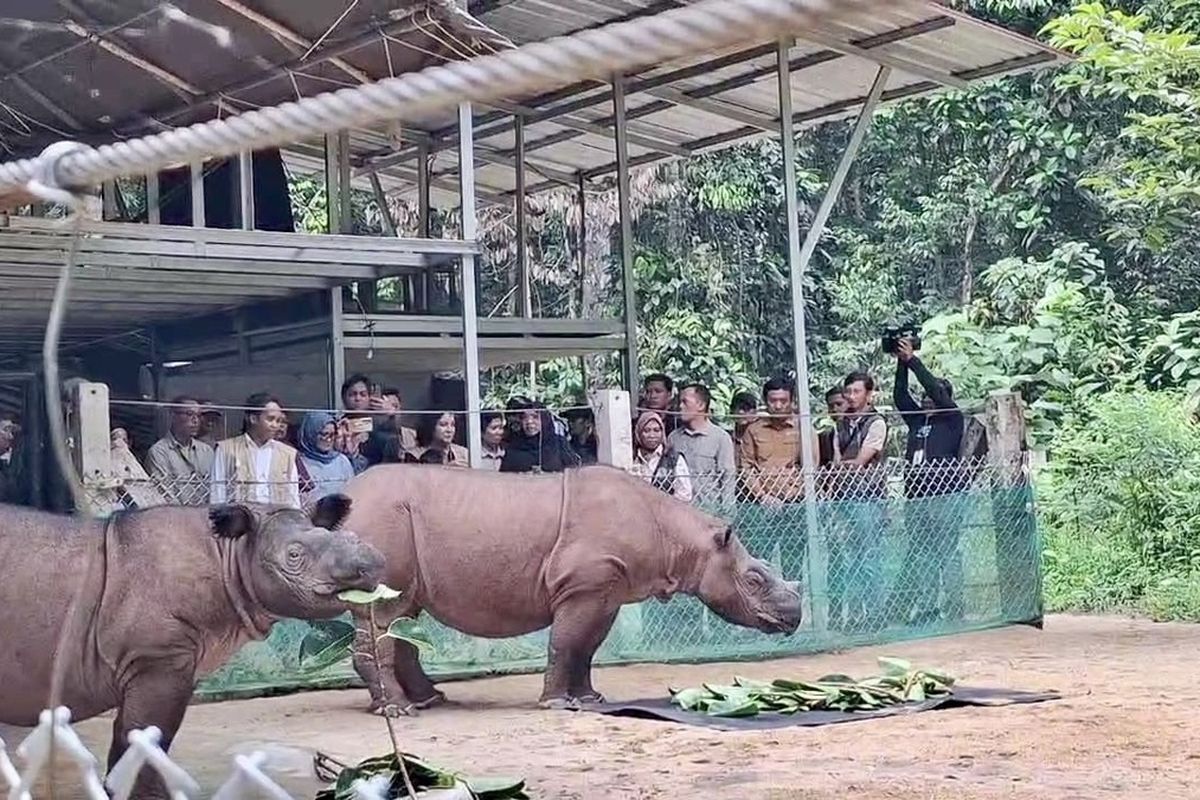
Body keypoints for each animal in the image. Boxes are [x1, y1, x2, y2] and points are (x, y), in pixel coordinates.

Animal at [0, 496, 381, 796]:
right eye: (294, 555)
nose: (372, 565)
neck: (231, 554)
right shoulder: (156, 659)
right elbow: (147, 741)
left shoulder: (170, 661)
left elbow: (133, 738)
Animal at [340, 465, 806, 714]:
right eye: (755, 580)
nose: (794, 616)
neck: (682, 540)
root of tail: (345, 494)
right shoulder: (584, 584)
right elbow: (566, 641)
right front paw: (556, 705)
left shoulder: (606, 589)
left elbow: (587, 646)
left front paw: (592, 699)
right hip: (381, 521)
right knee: (386, 615)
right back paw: (398, 710)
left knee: (404, 616)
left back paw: (428, 701)